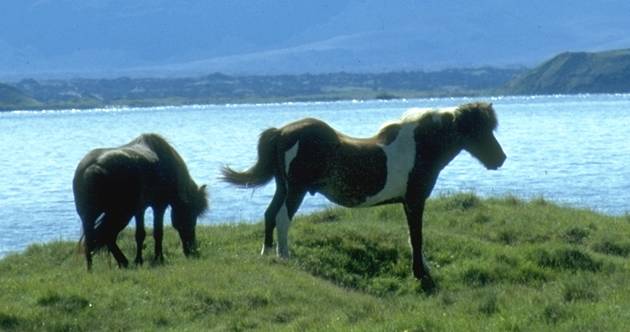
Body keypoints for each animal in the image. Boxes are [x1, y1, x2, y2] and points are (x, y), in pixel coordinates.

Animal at [73, 134, 209, 272]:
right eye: (191, 214)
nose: (193, 251)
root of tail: (93, 168)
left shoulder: (139, 210)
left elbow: (140, 235)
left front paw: (140, 260)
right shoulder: (158, 206)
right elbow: (156, 233)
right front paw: (156, 258)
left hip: (91, 216)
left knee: (97, 237)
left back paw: (96, 267)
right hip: (120, 214)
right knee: (106, 235)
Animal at [222, 102, 508, 290]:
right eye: (478, 130)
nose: (500, 158)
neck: (419, 147)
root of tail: (282, 132)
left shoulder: (409, 203)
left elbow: (414, 237)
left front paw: (423, 269)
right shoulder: (415, 201)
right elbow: (416, 237)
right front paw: (420, 274)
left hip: (283, 187)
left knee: (270, 214)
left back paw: (267, 253)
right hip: (296, 190)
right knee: (282, 218)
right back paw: (284, 257)